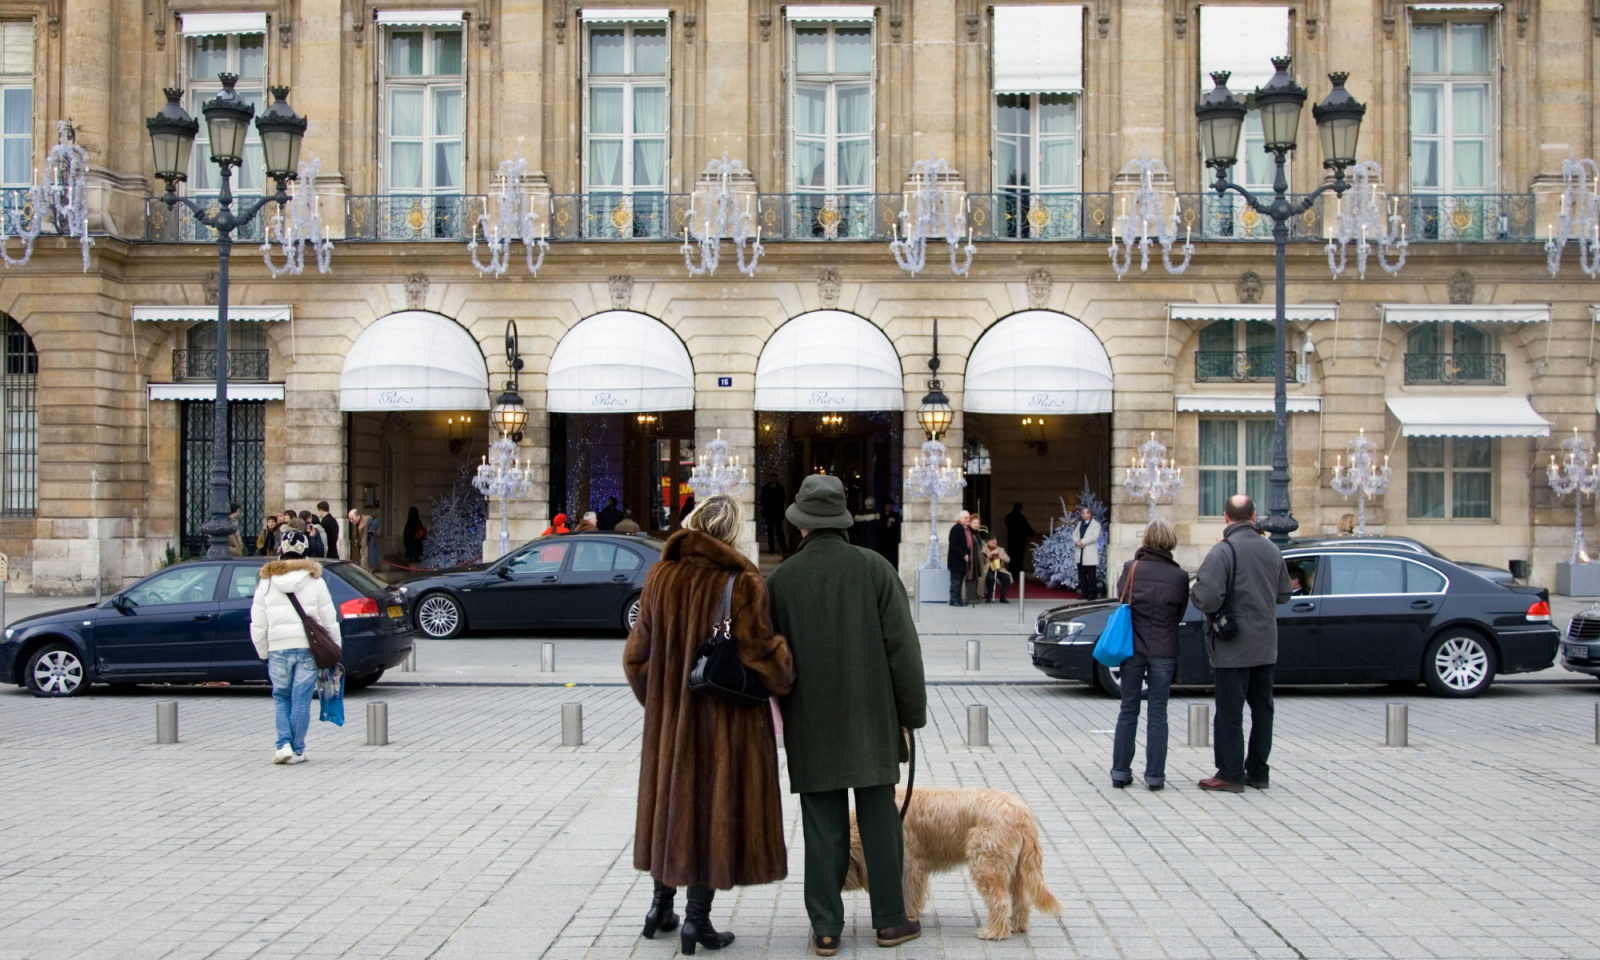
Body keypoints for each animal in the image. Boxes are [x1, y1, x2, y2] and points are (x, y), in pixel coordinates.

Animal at [844, 787, 1056, 934]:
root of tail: (1024, 815)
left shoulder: (910, 865)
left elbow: (909, 893)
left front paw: (908, 916)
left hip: (987, 865)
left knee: (1000, 902)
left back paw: (994, 932)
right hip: (1016, 870)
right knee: (1021, 899)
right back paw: (1017, 925)